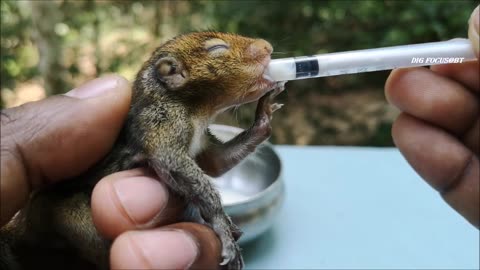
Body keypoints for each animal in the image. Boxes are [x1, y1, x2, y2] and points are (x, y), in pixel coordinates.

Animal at [0, 30, 284, 268]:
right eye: (217, 48)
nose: (268, 46)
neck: (196, 111)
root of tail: (22, 227)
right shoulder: (161, 124)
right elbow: (177, 165)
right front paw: (222, 226)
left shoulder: (200, 141)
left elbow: (216, 162)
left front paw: (264, 114)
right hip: (72, 220)